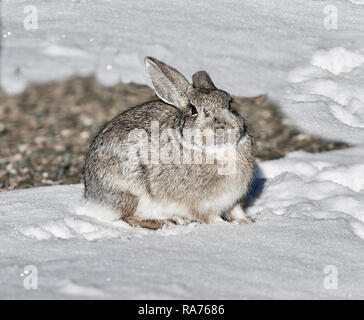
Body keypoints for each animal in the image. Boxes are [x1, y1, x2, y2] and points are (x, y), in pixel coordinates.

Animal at [84, 56, 256, 229]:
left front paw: (247, 221)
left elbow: (236, 211)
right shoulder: (198, 204)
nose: (221, 129)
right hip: (131, 193)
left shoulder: (234, 199)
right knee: (129, 216)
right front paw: (223, 225)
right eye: (194, 109)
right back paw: (169, 221)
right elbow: (210, 217)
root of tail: (91, 196)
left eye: (229, 105)